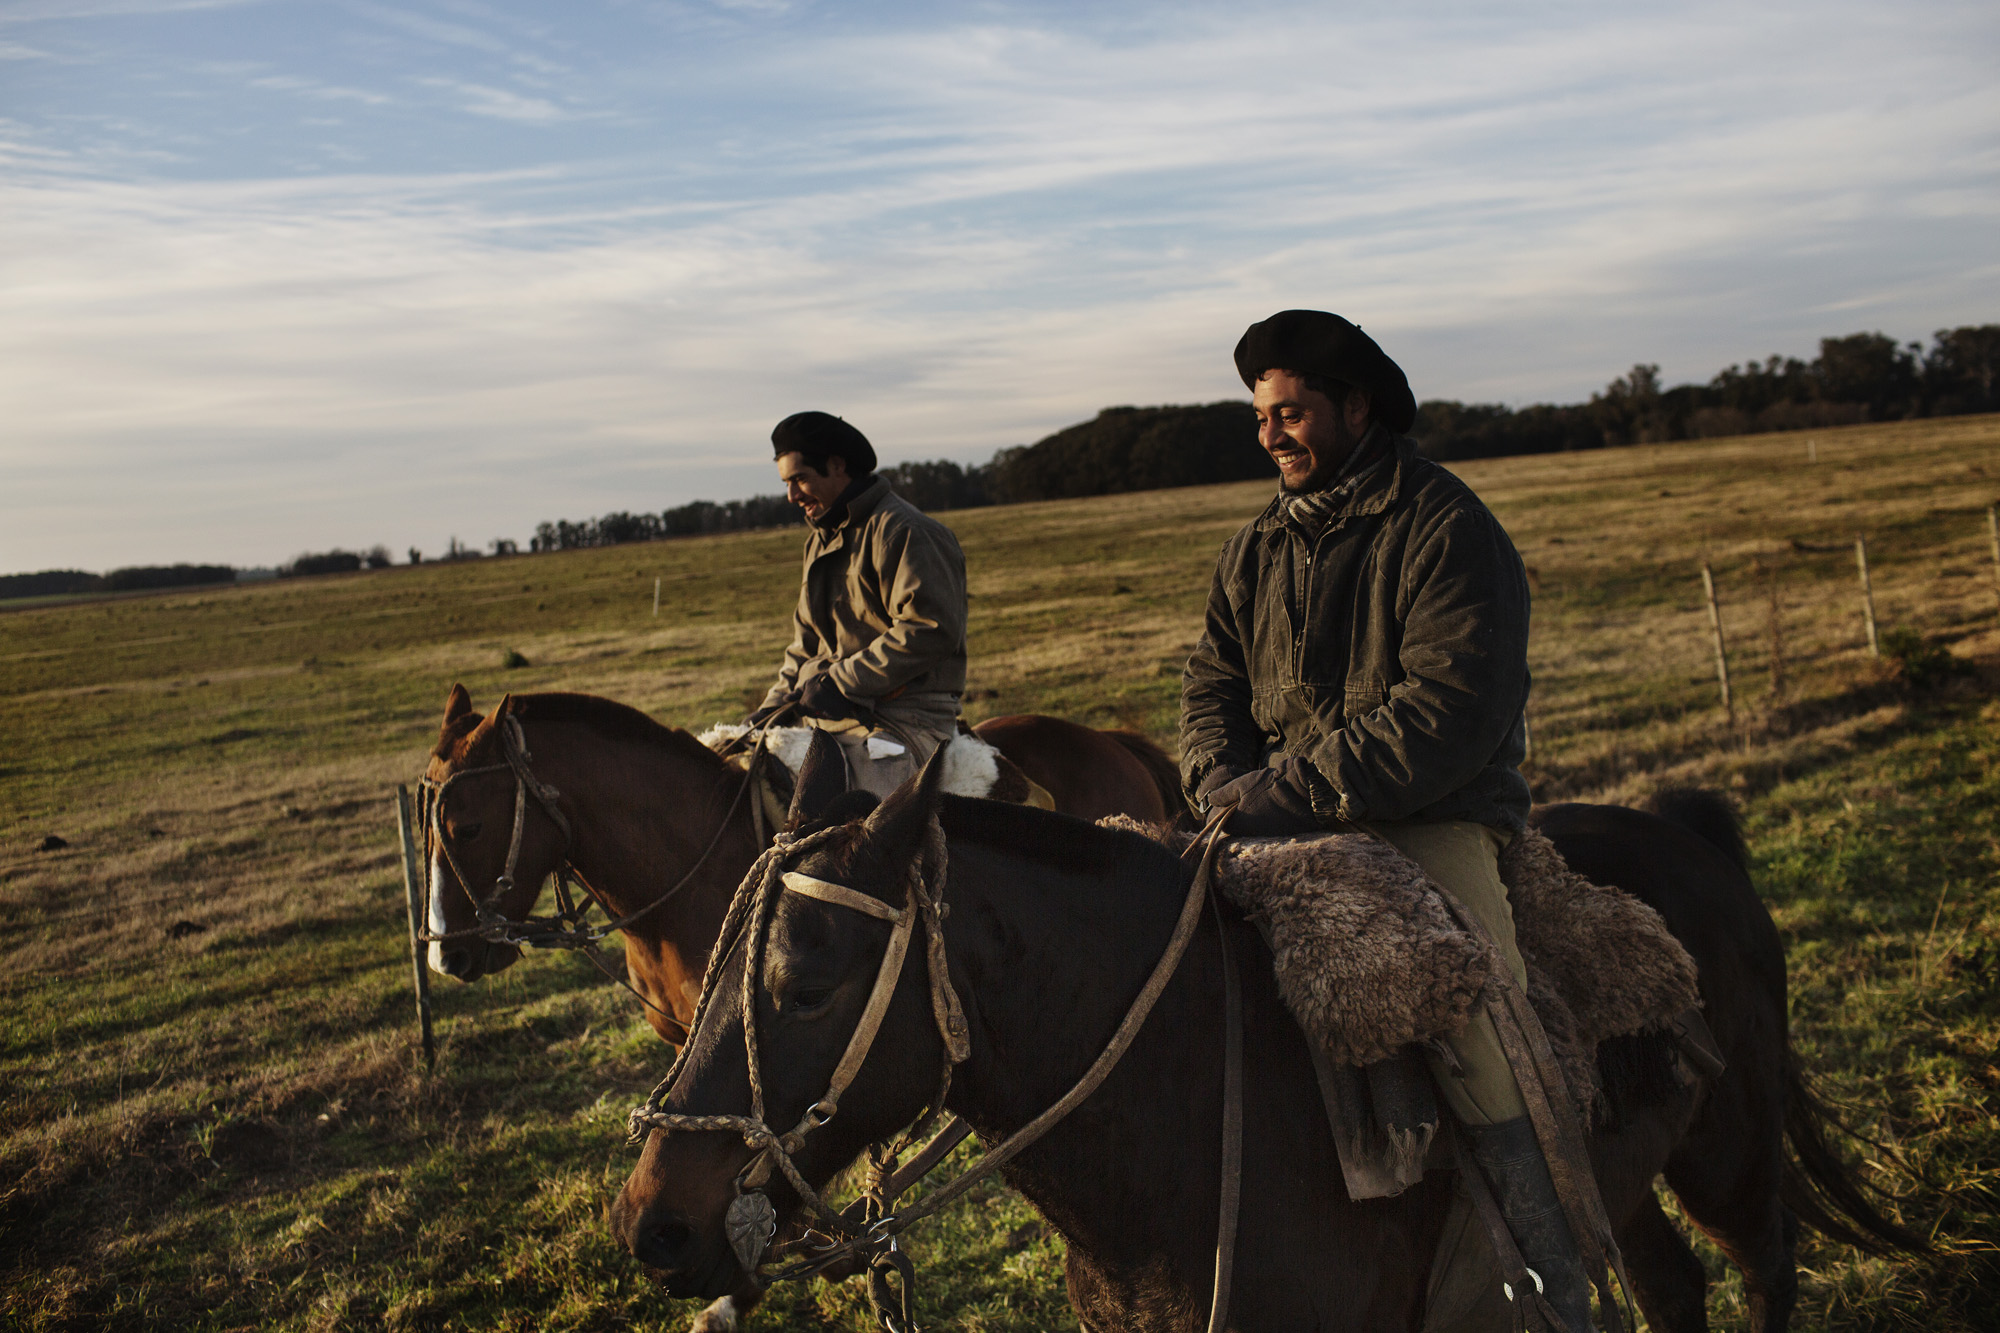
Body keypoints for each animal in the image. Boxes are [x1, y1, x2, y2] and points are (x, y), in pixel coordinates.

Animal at [612, 756, 1920, 1328]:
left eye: (802, 982)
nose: (652, 1227)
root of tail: (1685, 824)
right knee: (1665, 1285)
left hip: (1729, 1151)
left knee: (1760, 1265)